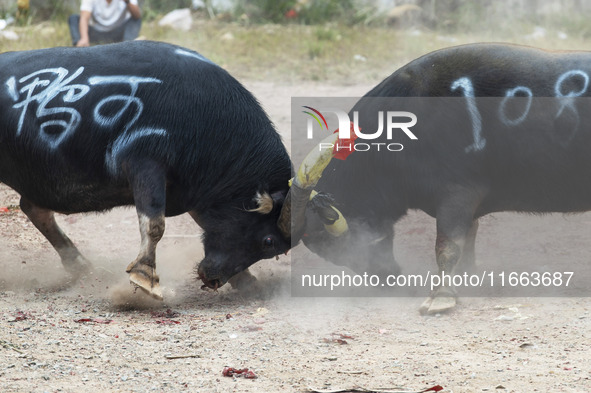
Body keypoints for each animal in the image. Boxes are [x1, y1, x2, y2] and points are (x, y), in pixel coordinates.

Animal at [0, 40, 294, 298]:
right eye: (268, 241)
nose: (214, 279)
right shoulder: (145, 163)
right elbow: (154, 224)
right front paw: (145, 277)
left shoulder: (193, 188)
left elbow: (205, 224)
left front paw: (247, 281)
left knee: (33, 208)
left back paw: (78, 264)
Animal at [290, 43, 591, 312]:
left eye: (343, 245)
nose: (388, 277)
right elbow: (467, 241)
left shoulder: (456, 195)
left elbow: (447, 246)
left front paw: (441, 296)